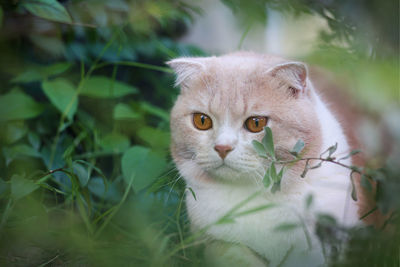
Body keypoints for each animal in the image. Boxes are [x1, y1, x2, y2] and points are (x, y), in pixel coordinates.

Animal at [166, 51, 360, 266]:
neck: (257, 195)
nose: (222, 147)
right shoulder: (210, 241)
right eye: (202, 121)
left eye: (256, 123)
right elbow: (233, 254)